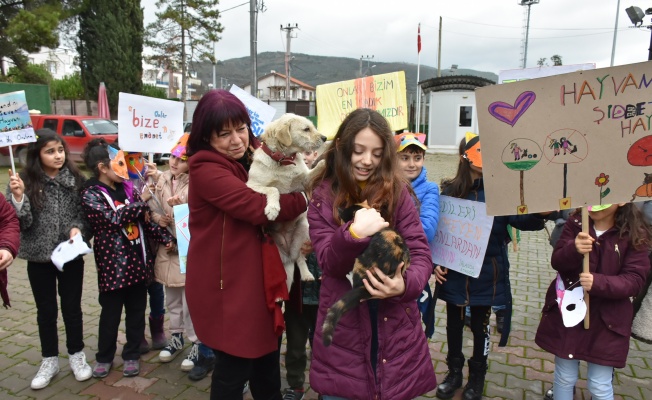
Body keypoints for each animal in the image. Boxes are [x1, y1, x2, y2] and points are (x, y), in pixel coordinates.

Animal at [247, 114, 326, 292]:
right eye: (306, 129)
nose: (325, 138)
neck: (284, 161)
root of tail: (287, 255)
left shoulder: (305, 181)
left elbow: (318, 167)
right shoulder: (251, 185)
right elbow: (274, 189)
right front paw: (273, 209)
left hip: (304, 231)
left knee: (300, 258)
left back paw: (306, 274)